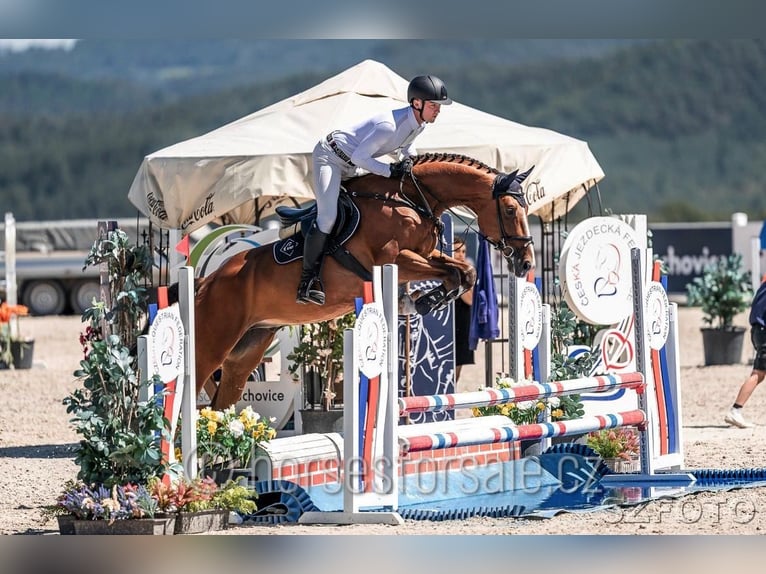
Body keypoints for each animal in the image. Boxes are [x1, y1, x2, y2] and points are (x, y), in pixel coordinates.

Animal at [189, 153, 535, 409]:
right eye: (509, 209)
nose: (526, 262)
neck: (411, 199)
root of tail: (206, 281)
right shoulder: (397, 259)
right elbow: (451, 273)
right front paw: (421, 301)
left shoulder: (425, 254)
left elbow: (464, 273)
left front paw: (424, 300)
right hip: (211, 347)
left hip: (246, 351)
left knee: (220, 403)